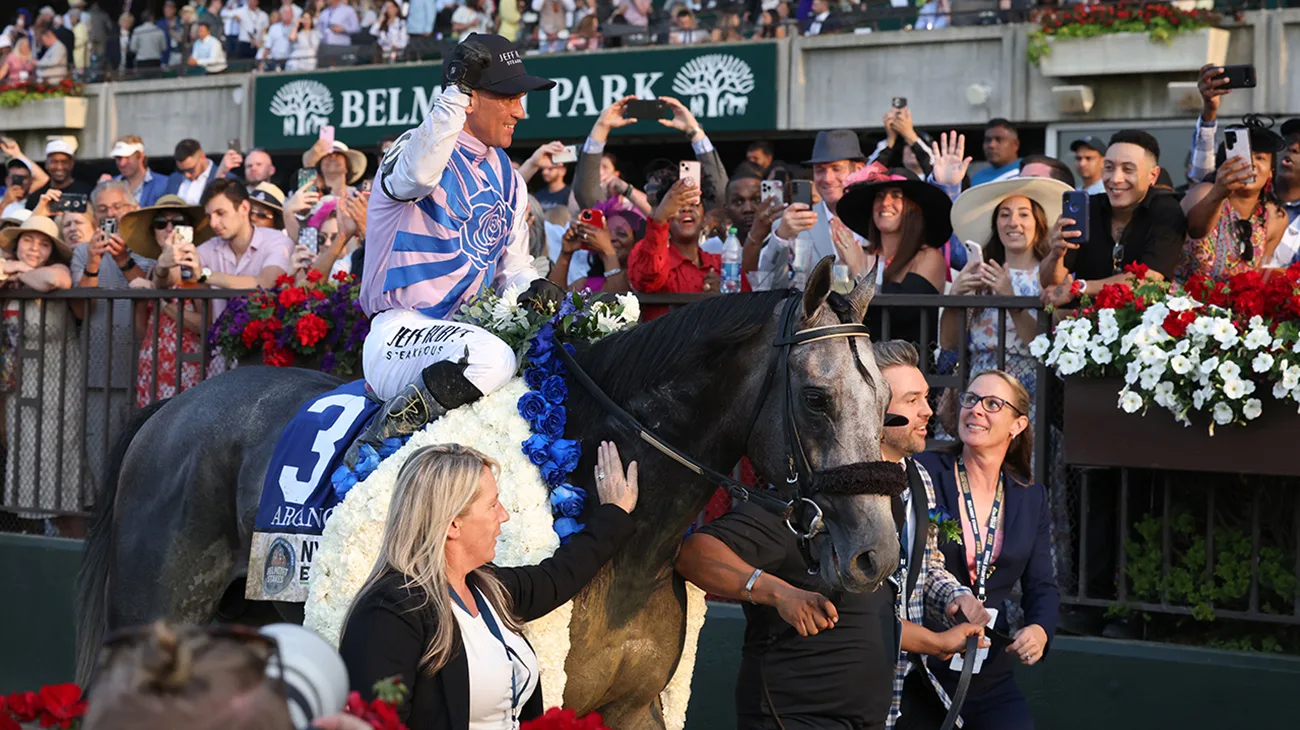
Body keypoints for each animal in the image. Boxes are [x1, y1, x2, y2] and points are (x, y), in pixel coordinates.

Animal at [73, 258, 904, 722]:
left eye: (887, 406)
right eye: (819, 399)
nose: (876, 555)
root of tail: (169, 409)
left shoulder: (635, 707)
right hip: (159, 606)